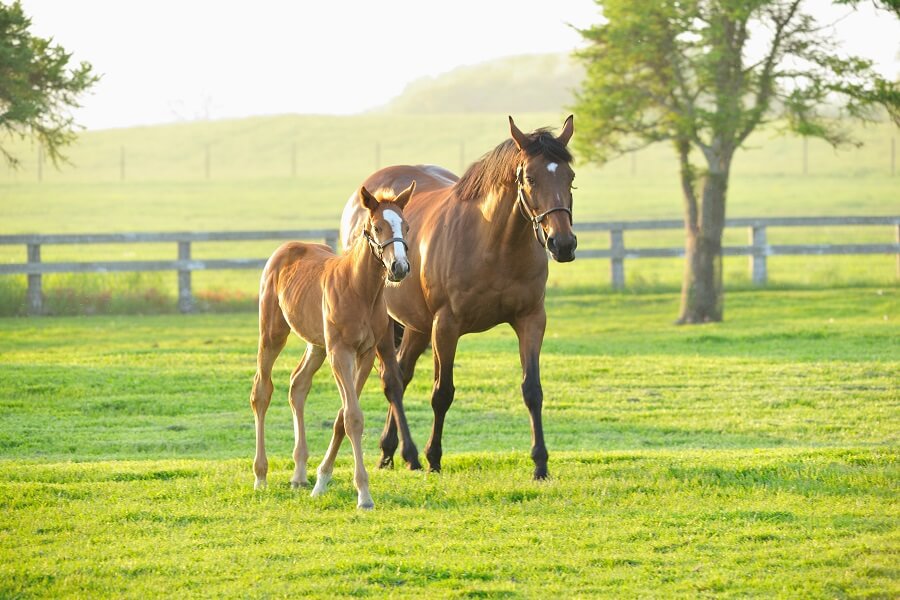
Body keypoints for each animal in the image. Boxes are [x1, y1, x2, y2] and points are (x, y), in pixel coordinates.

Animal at [250, 182, 418, 506]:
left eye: (405, 225)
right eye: (376, 227)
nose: (399, 267)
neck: (360, 290)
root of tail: (286, 248)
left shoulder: (365, 353)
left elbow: (343, 416)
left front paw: (322, 480)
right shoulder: (340, 352)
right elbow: (352, 417)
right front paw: (364, 494)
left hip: (317, 344)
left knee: (298, 385)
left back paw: (299, 474)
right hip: (273, 333)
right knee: (261, 391)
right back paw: (261, 475)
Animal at [338, 116, 576, 478]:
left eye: (570, 177)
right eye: (530, 178)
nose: (562, 244)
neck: (492, 243)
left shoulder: (531, 319)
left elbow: (532, 390)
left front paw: (540, 463)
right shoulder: (446, 326)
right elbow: (442, 393)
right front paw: (434, 457)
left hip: (417, 326)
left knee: (403, 375)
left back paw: (392, 451)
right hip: (389, 322)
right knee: (392, 381)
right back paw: (409, 453)